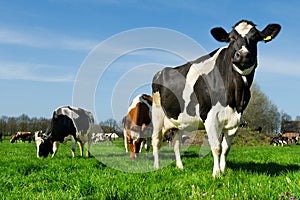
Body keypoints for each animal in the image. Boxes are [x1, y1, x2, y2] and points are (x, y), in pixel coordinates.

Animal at [152, 19, 282, 177]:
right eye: (231, 38)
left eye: (256, 38)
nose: (243, 55)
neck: (236, 94)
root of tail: (161, 71)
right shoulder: (209, 116)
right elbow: (216, 147)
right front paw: (217, 174)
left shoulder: (235, 119)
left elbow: (226, 148)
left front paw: (224, 170)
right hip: (157, 114)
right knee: (156, 141)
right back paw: (156, 167)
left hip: (178, 120)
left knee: (176, 143)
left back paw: (180, 167)